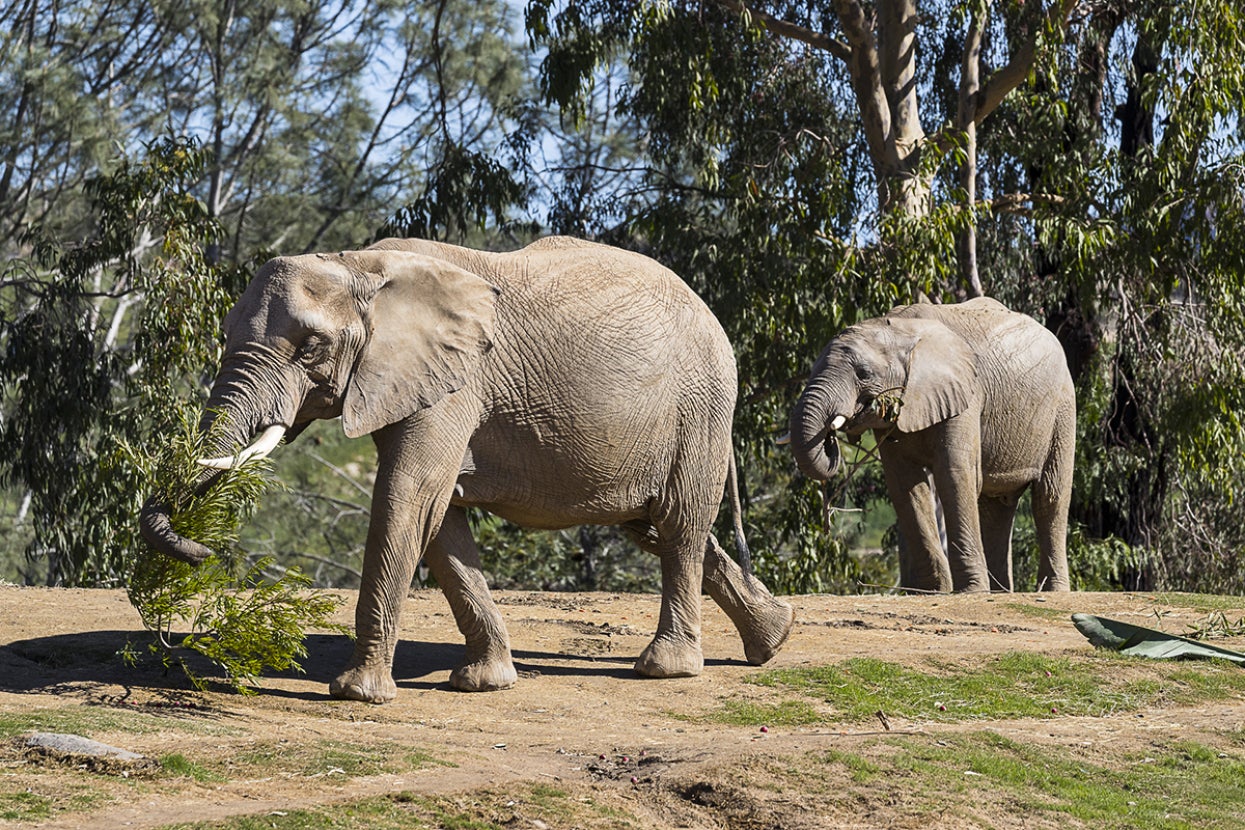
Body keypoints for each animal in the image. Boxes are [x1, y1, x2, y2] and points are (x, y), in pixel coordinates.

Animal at [139, 236, 794, 702]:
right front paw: (485, 682)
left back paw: (666, 669)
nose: (200, 551)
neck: (359, 264)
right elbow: (440, 518)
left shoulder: (454, 381)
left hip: (700, 405)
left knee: (680, 521)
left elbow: (408, 495)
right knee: (653, 524)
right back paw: (774, 639)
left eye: (310, 347)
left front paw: (357, 694)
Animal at [786, 297, 1075, 593]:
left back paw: (1051, 590)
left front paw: (970, 591)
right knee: (996, 506)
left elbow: (954, 475)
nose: (831, 438)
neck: (901, 329)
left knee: (1049, 496)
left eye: (863, 374)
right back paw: (1000, 591)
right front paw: (932, 590)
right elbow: (906, 485)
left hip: (1063, 407)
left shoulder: (967, 395)